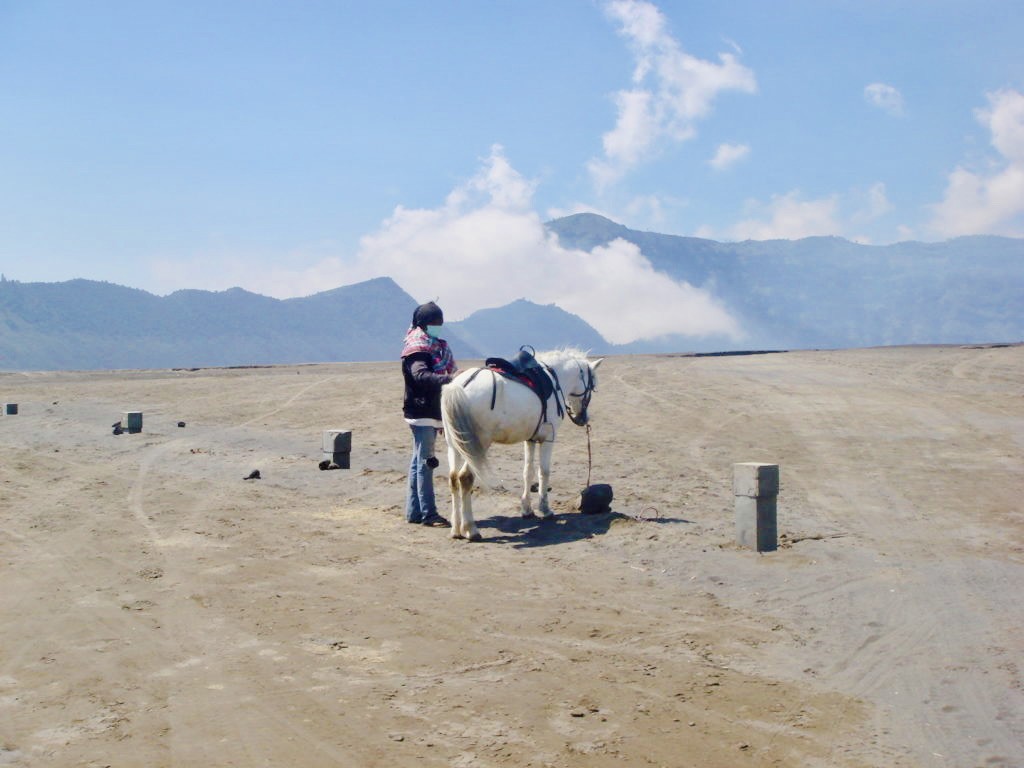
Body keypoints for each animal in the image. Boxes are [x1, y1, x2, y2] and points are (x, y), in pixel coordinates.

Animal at [440, 348, 598, 540]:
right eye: (592, 385)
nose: (583, 418)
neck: (554, 379)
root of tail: (460, 386)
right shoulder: (548, 439)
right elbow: (544, 472)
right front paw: (545, 509)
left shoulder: (530, 439)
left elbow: (527, 472)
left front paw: (527, 509)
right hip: (476, 446)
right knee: (464, 478)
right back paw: (471, 529)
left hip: (455, 445)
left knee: (453, 478)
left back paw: (456, 529)